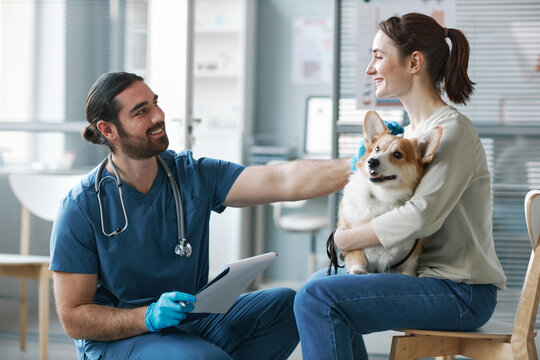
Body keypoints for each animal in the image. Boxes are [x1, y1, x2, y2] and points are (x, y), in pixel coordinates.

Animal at [326, 111, 440, 274]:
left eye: (398, 154)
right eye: (377, 149)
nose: (372, 161)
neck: (381, 196)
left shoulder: (414, 249)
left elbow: (409, 265)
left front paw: (408, 275)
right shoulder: (348, 233)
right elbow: (357, 253)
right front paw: (357, 270)